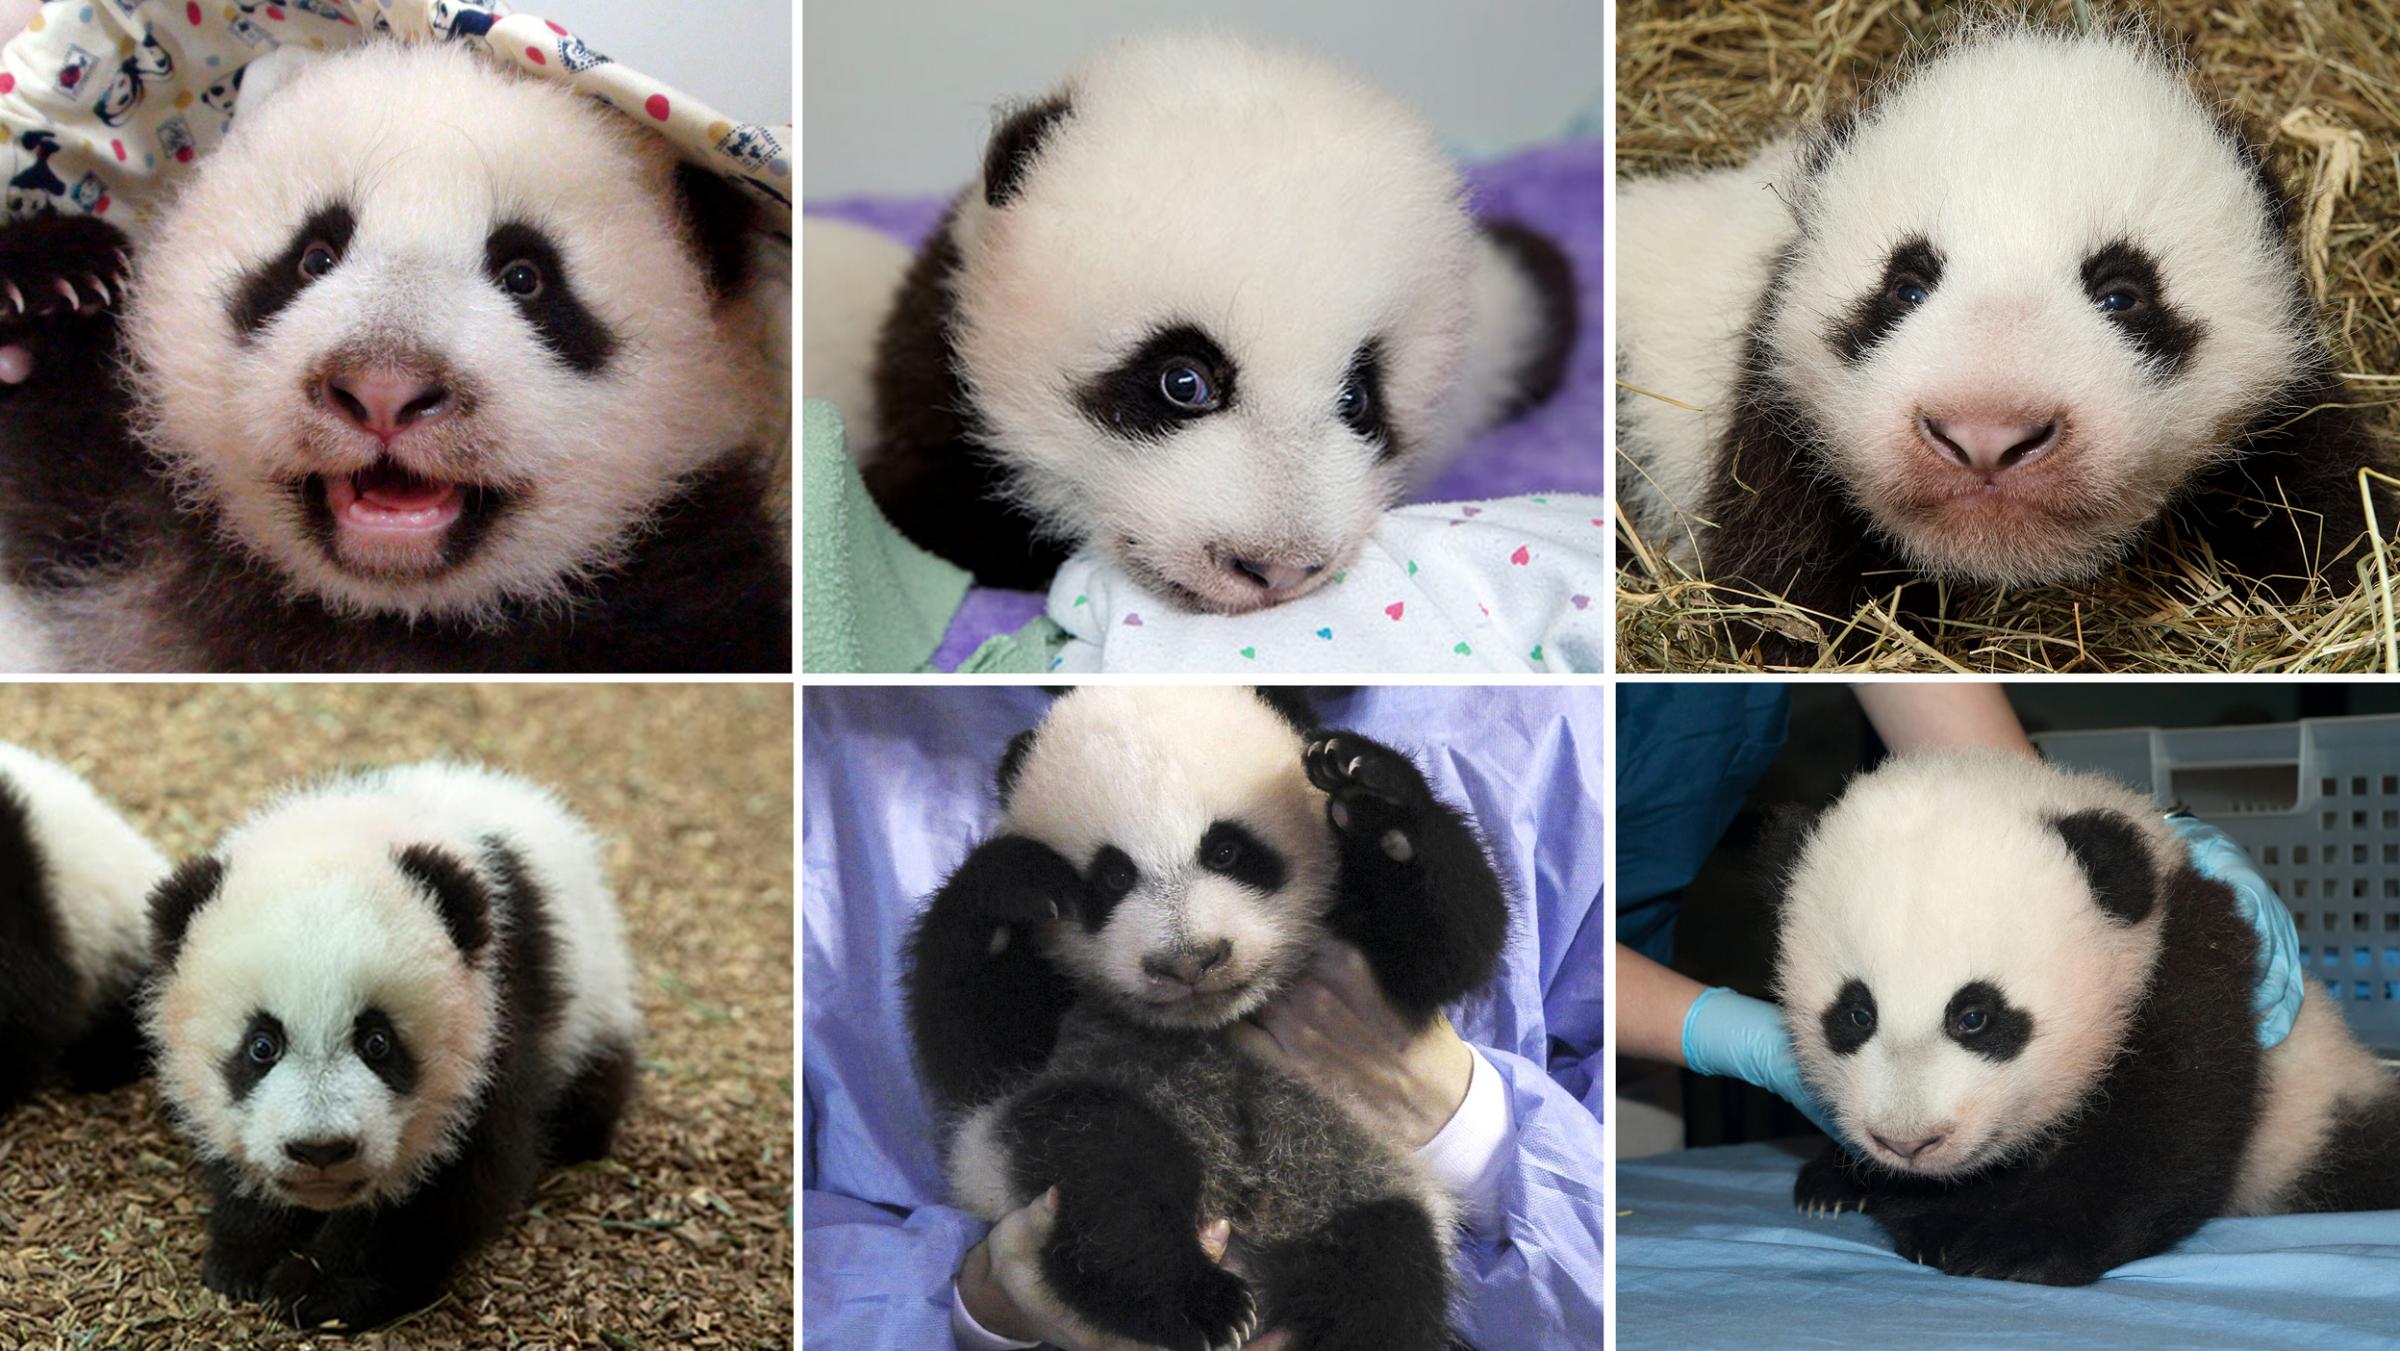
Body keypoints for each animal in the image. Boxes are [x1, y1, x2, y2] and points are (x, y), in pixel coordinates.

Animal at [0, 41, 789, 673]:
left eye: (527, 276)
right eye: (313, 257)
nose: (384, 391)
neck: (387, 609)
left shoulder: (691, 587)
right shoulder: (118, 518)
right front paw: (53, 283)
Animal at [143, 761, 642, 1329]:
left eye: (377, 1041)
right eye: (262, 1046)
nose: (320, 1149)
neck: (350, 826)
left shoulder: (495, 1016)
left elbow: (458, 1177)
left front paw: (317, 1288)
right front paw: (244, 1257)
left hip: (594, 1002)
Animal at [903, 687, 1510, 1350]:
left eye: (1226, 850)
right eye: (1113, 875)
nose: (1190, 961)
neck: (1211, 1021)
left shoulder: (1358, 928)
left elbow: (1452, 945)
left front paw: (1368, 790)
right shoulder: (1052, 1023)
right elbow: (974, 1046)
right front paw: (1012, 877)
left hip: (1356, 1182)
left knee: (1387, 1273)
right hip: (1053, 1127)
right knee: (1113, 1166)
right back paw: (1195, 1301)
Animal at [1616, 20, 2388, 658]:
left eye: (2123, 295)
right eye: (1906, 286)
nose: (1985, 436)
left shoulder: (2280, 403)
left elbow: (2323, 515)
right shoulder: (1776, 411)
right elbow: (1783, 585)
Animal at [1773, 750, 2400, 1285]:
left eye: (1975, 1017)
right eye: (1856, 1014)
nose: (1908, 1142)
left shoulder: (2188, 962)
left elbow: (2166, 1126)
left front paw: (2022, 1247)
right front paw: (1940, 1223)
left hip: (2312, 1118)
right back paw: (1828, 1186)